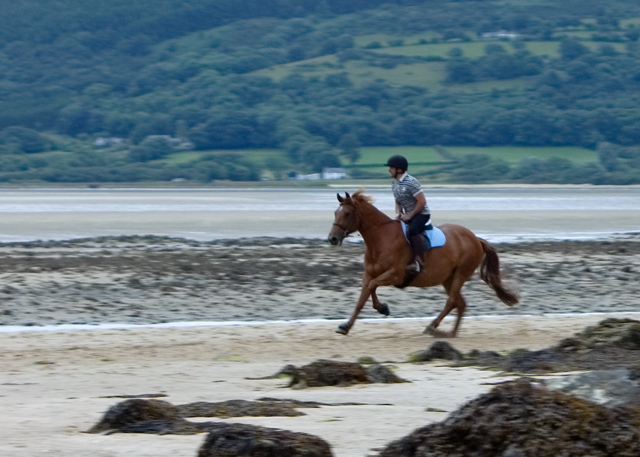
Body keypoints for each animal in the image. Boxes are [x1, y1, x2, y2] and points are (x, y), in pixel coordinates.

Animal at [328, 188, 516, 334]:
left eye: (347, 213)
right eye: (336, 213)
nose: (332, 239)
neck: (381, 239)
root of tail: (476, 239)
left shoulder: (395, 275)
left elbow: (372, 286)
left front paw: (383, 308)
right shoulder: (368, 274)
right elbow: (363, 296)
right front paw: (346, 326)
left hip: (460, 275)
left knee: (452, 302)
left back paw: (432, 327)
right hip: (448, 278)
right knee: (460, 304)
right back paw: (451, 334)